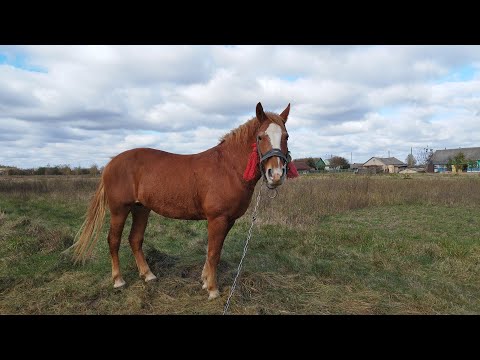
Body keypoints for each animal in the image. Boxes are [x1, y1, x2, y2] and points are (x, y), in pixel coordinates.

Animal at [73, 102, 294, 300]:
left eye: (286, 136)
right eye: (260, 136)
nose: (275, 175)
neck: (228, 168)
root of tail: (111, 163)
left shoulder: (228, 221)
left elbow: (213, 251)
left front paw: (205, 280)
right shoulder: (218, 219)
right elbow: (213, 253)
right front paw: (212, 289)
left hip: (141, 209)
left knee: (135, 239)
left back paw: (148, 275)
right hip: (119, 209)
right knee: (113, 240)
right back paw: (118, 280)